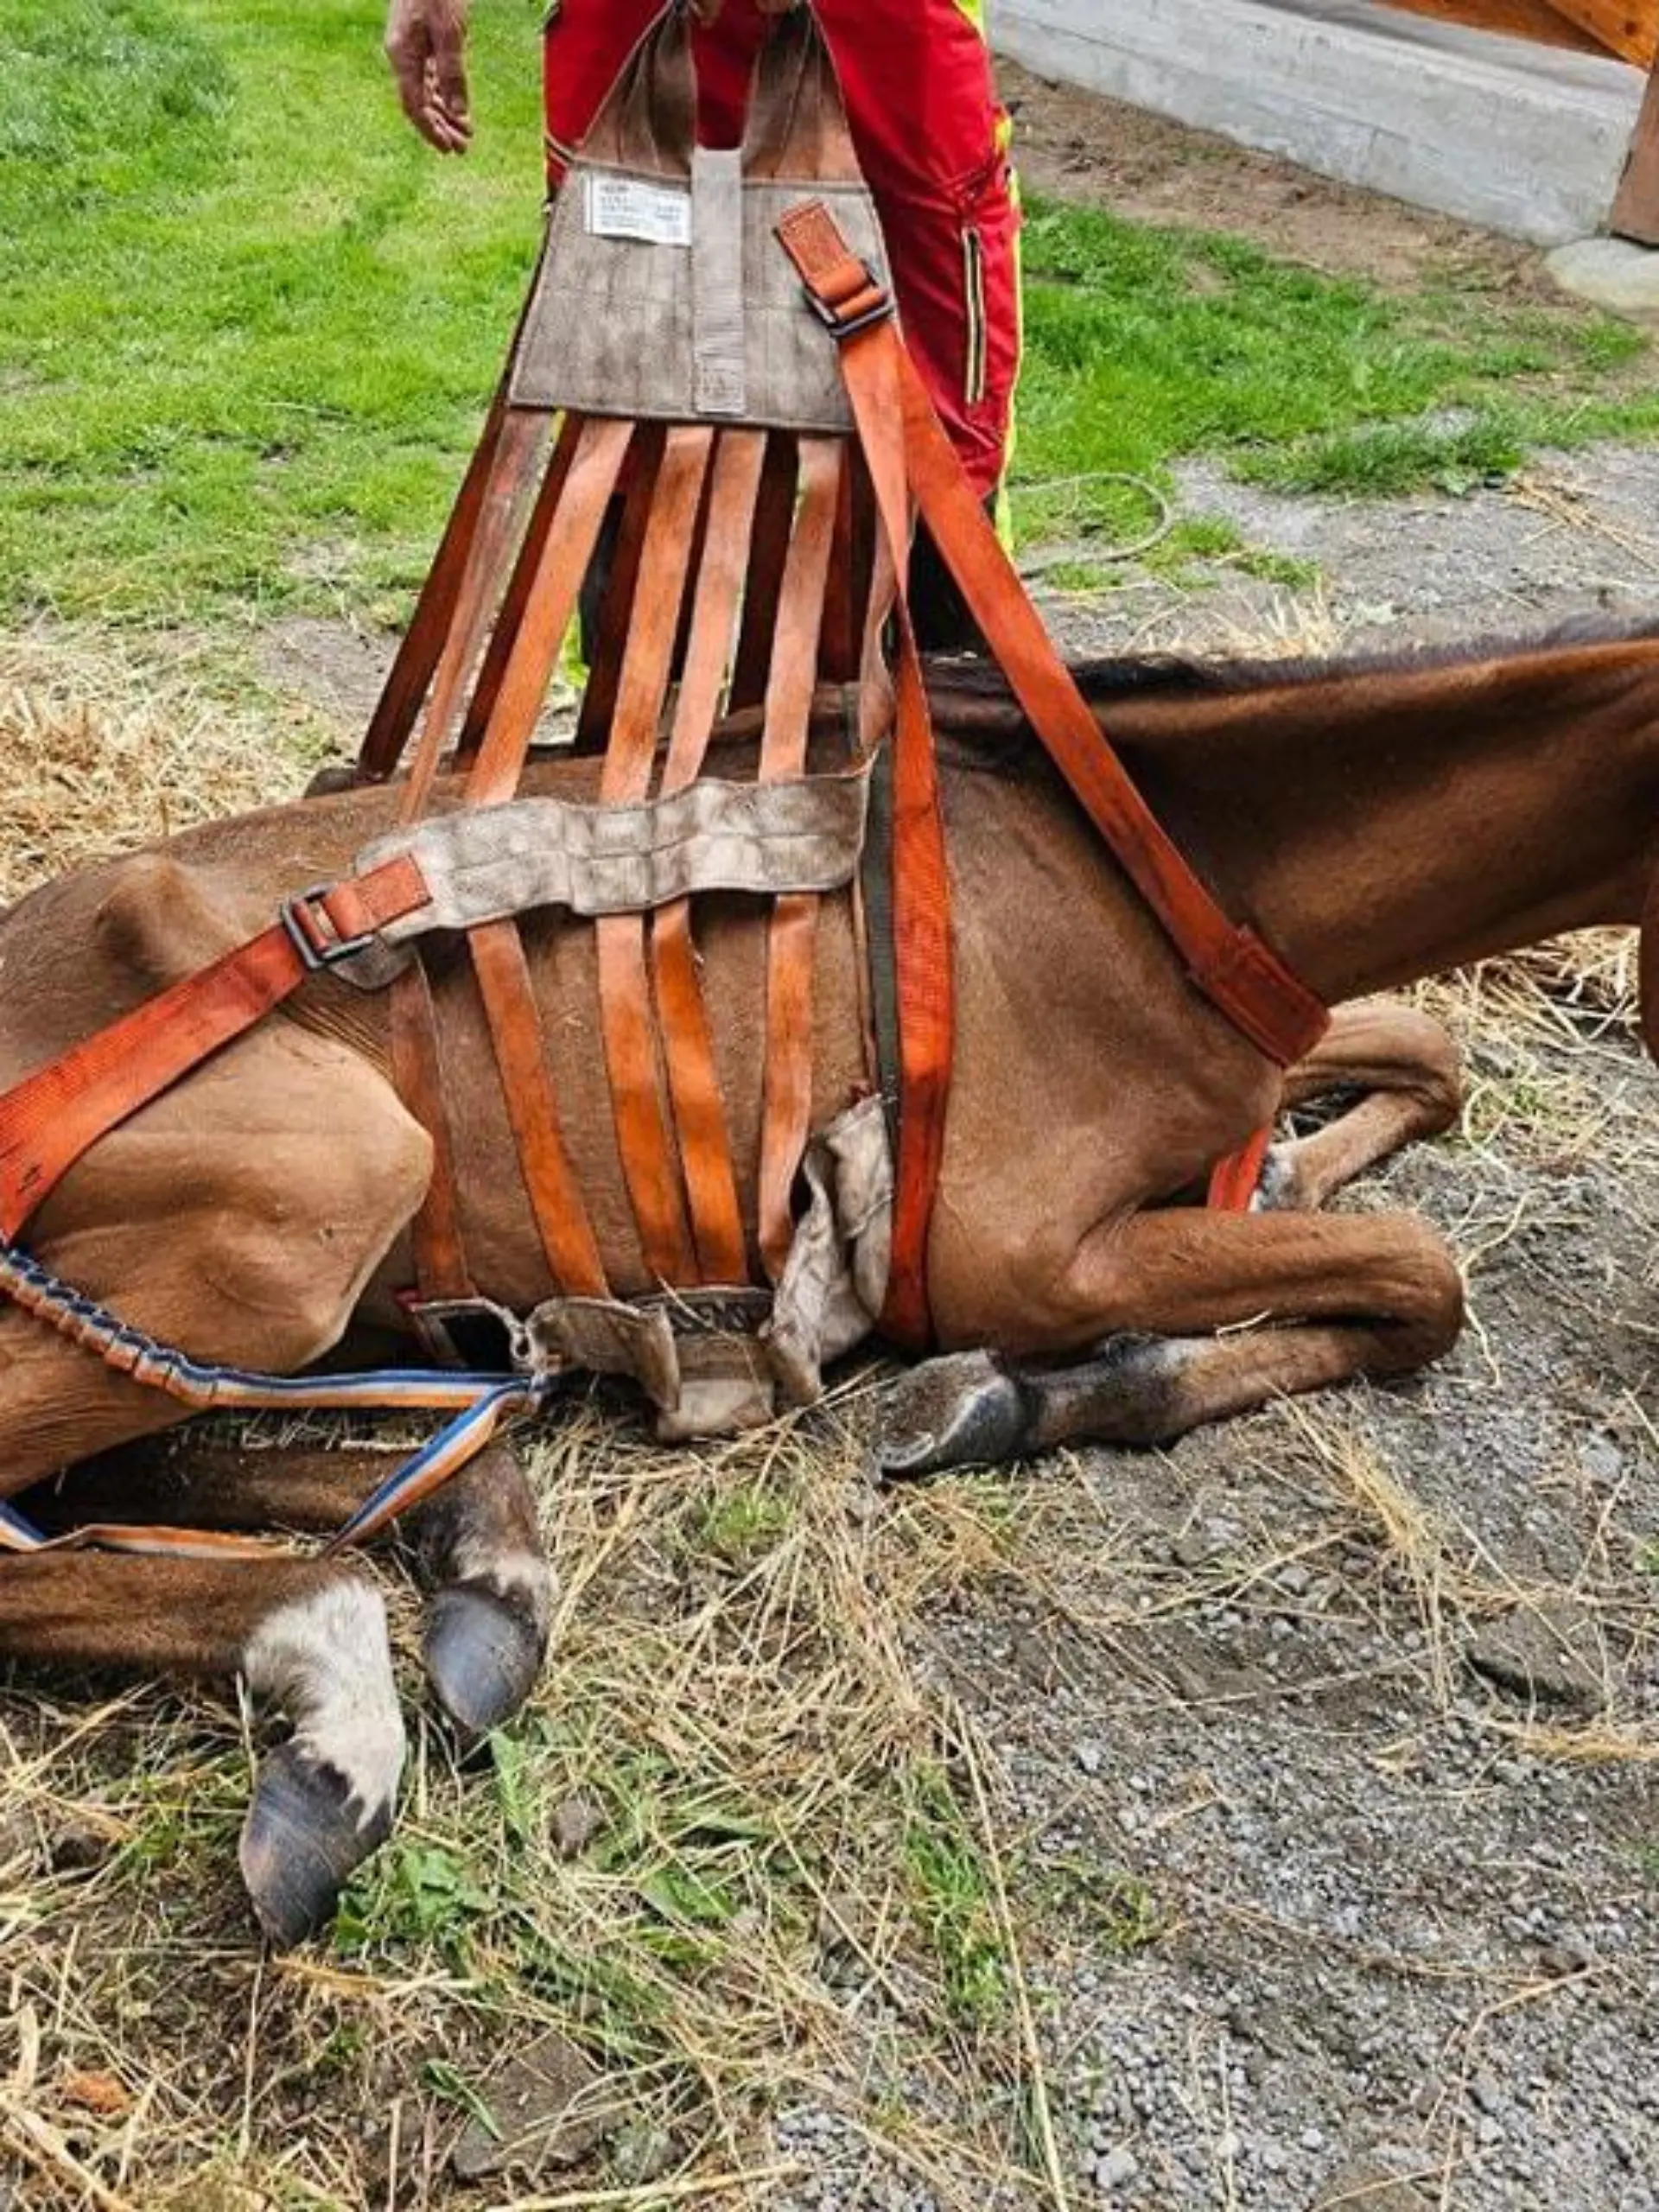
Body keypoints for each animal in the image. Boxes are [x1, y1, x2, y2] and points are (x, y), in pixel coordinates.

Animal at [3, 622, 1654, 1941]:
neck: (1138, 875)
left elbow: (1427, 1060)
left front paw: (1290, 1176)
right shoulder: (1012, 1247)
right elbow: (1421, 1278)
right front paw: (1034, 1395)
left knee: (133, 1470)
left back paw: (474, 1552)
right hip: (323, 1189)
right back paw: (333, 1669)